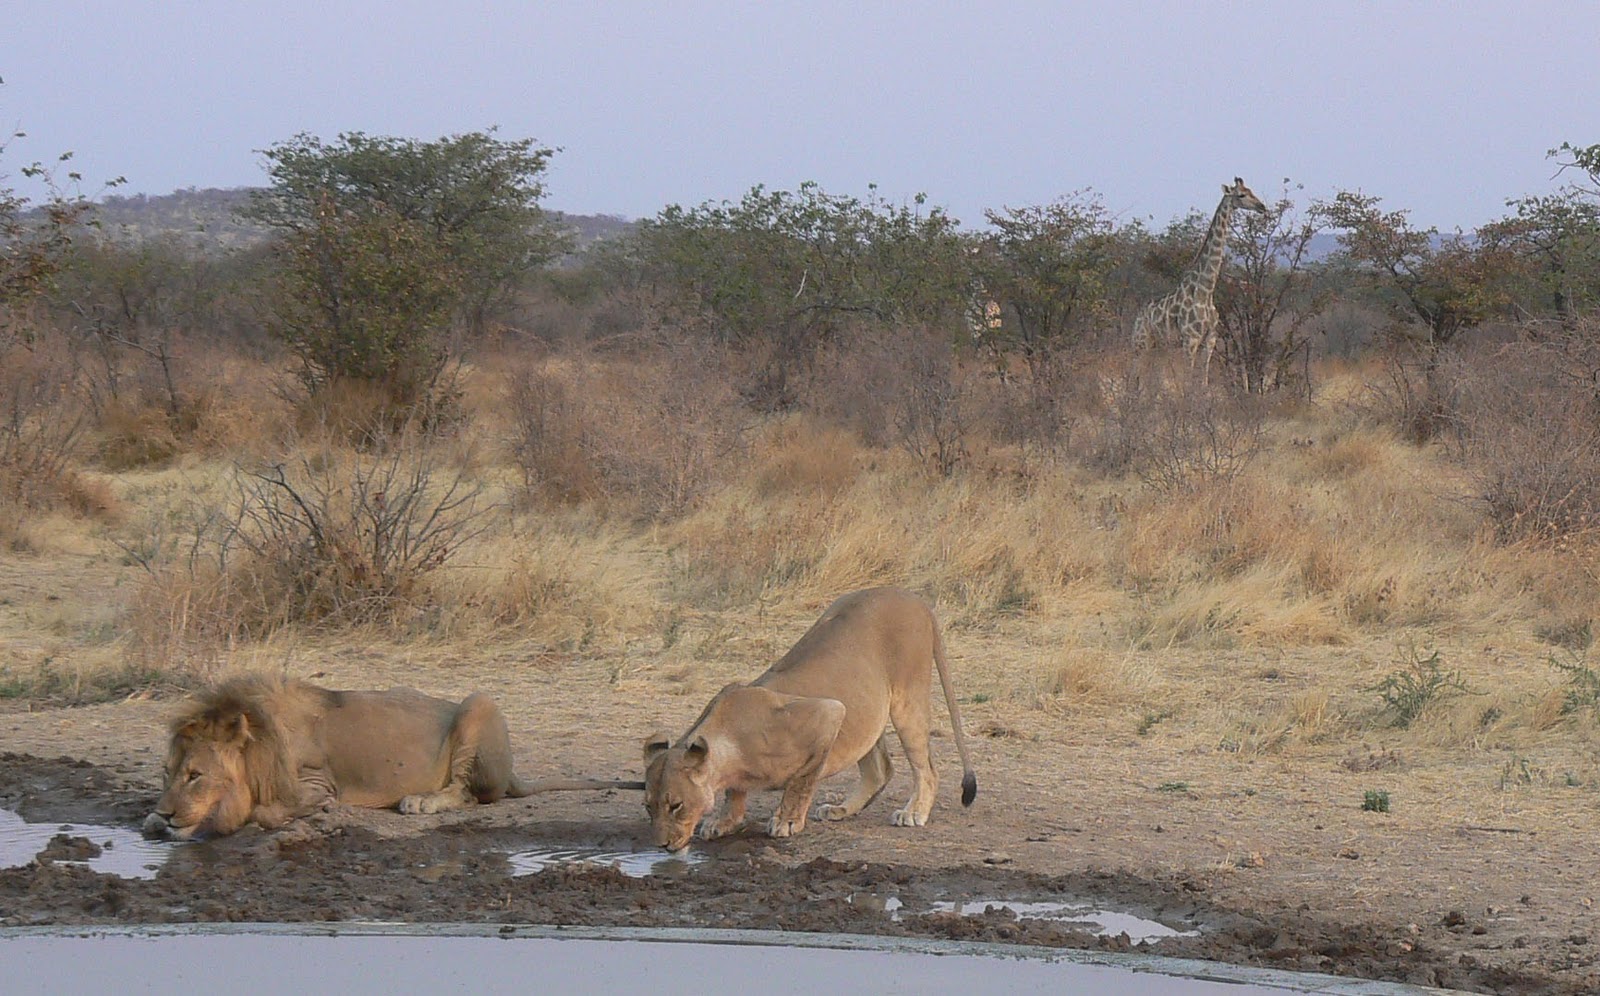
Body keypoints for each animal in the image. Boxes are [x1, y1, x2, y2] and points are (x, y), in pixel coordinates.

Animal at [144, 674, 638, 840]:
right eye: (166, 773)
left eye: (196, 775)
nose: (167, 814)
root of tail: (514, 771)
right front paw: (151, 820)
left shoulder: (318, 784)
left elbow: (266, 812)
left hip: (479, 704)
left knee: (467, 793)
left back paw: (421, 802)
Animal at [642, 587, 976, 852]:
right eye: (649, 807)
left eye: (676, 805)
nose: (661, 846)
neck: (731, 748)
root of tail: (912, 596)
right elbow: (734, 793)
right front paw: (724, 822)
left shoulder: (828, 712)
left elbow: (802, 780)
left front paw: (787, 821)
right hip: (866, 707)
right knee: (880, 769)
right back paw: (841, 809)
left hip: (906, 699)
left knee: (927, 769)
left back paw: (914, 813)